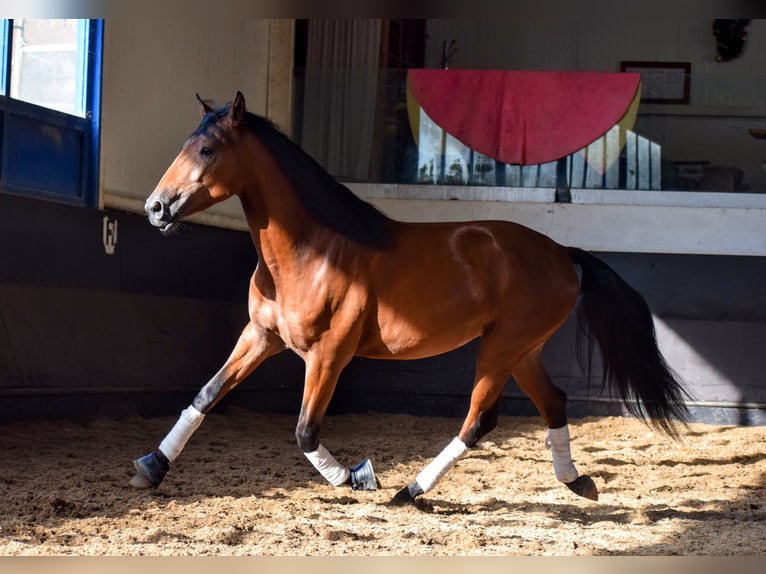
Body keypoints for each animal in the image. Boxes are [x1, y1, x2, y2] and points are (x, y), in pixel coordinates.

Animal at [130, 93, 688, 504]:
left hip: (503, 347)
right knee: (553, 402)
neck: (311, 252)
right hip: (524, 350)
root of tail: (560, 253)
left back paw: (412, 491)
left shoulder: (328, 355)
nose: (155, 207)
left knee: (479, 420)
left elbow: (305, 430)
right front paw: (151, 468)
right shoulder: (261, 336)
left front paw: (357, 476)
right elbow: (206, 395)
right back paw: (577, 481)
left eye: (207, 151)